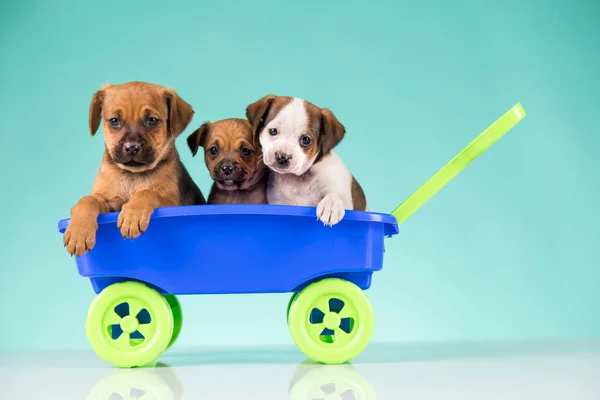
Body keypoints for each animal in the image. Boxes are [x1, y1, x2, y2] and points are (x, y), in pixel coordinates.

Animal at [62, 81, 205, 256]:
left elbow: (147, 192)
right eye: (114, 120)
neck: (132, 176)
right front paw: (78, 232)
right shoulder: (110, 203)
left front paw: (132, 215)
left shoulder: (171, 203)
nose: (131, 147)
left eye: (152, 120)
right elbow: (88, 200)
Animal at [244, 94, 366, 225]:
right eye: (273, 131)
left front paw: (331, 205)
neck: (298, 179)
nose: (282, 157)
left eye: (306, 140)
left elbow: (335, 195)